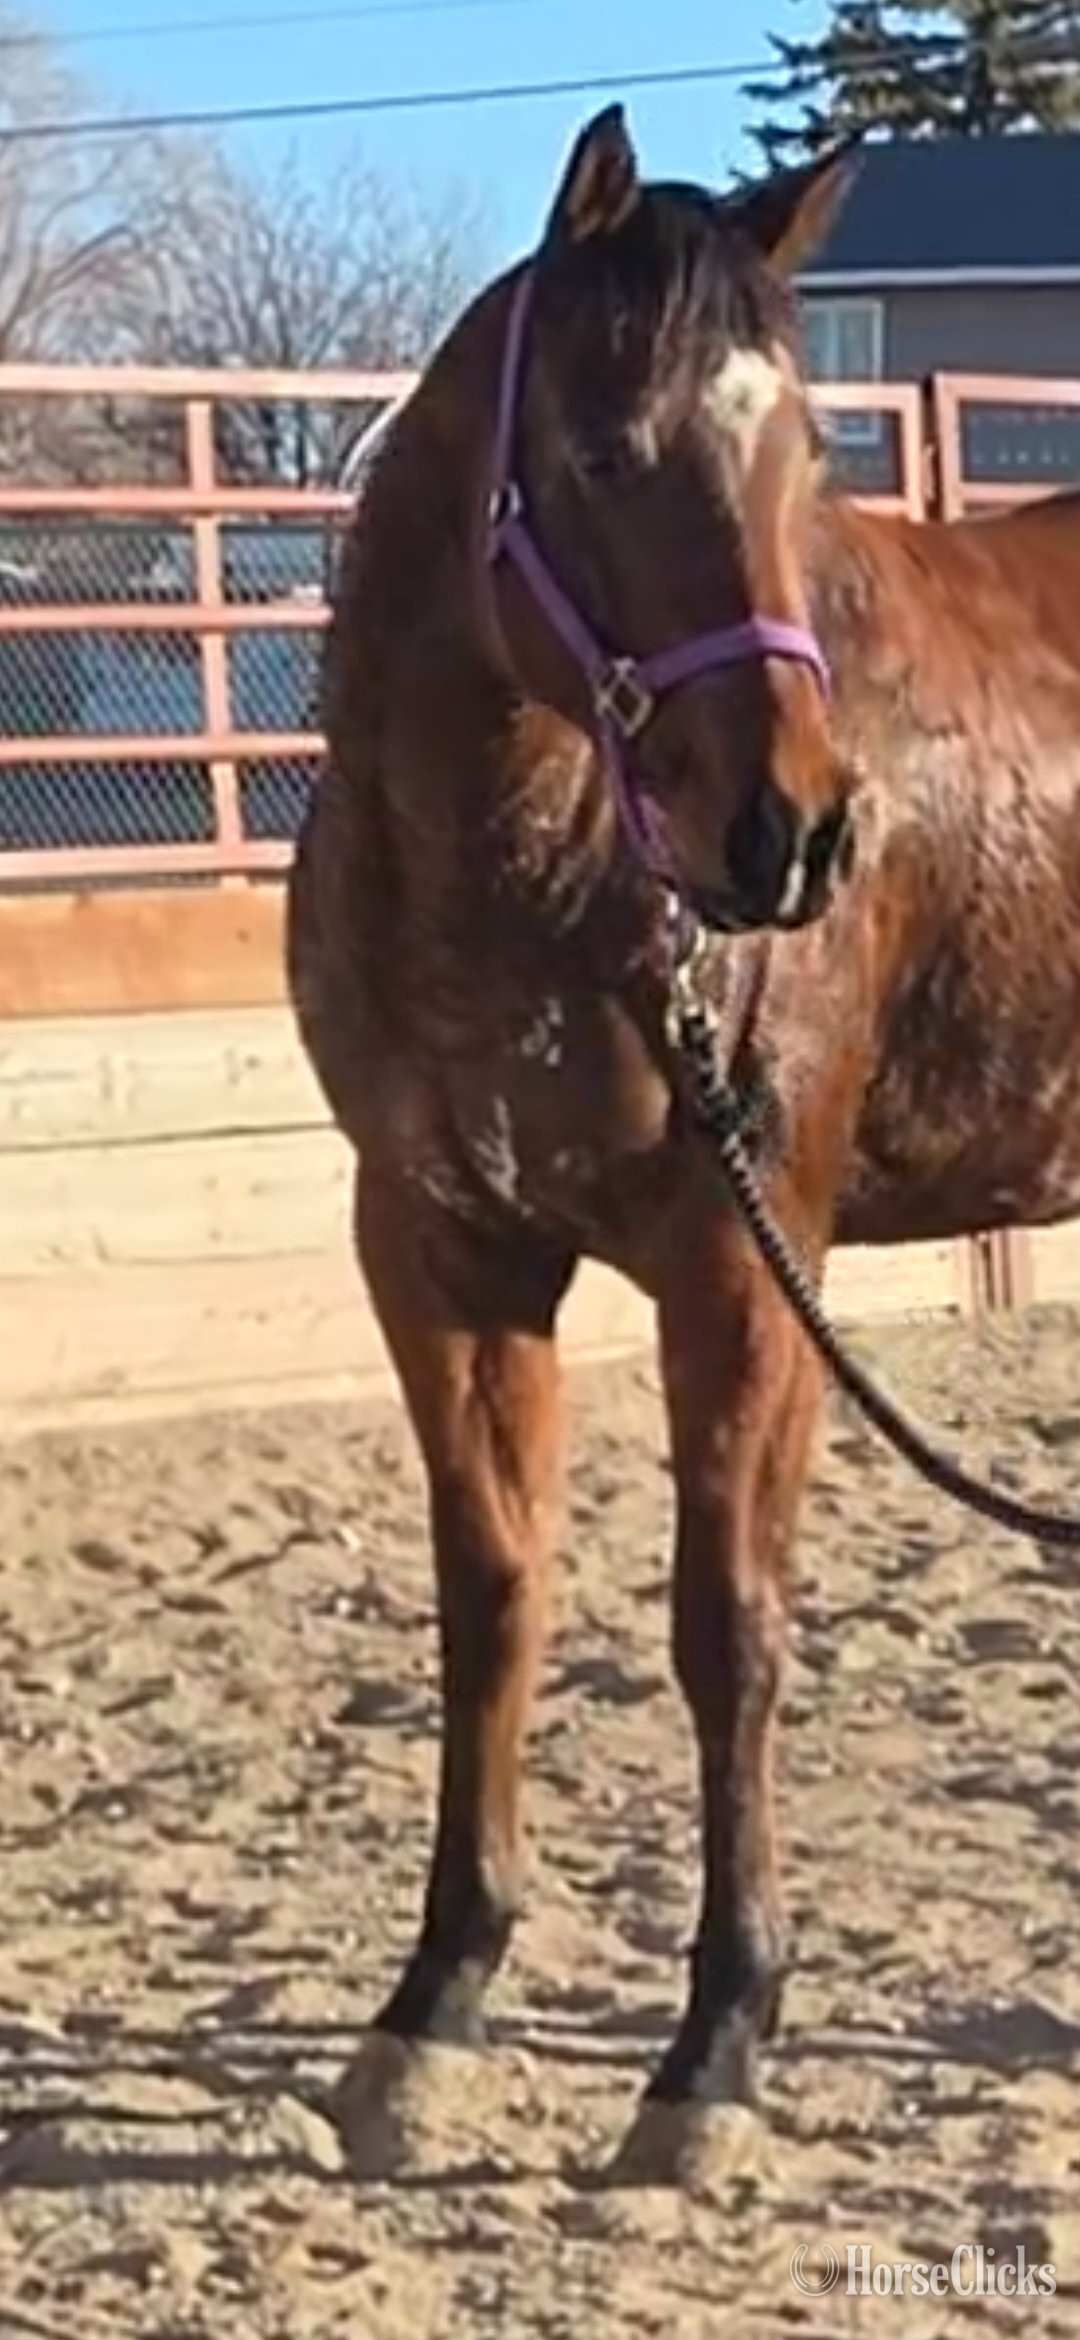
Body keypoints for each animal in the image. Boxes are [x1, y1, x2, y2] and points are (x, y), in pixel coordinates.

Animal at [286, 104, 1080, 2183]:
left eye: (806, 452)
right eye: (598, 454)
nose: (793, 835)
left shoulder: (744, 1264)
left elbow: (730, 1628)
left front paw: (713, 2052)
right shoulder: (440, 1252)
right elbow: (493, 1599)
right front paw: (430, 2013)